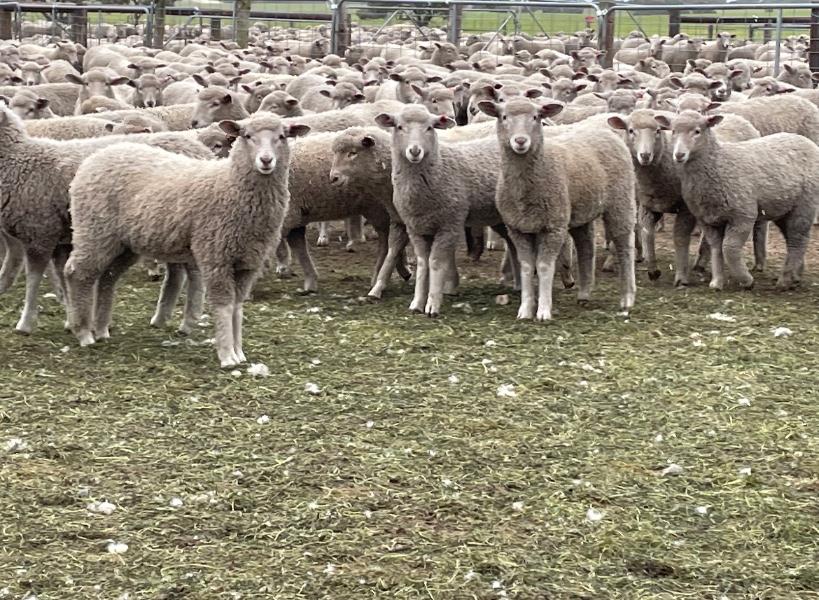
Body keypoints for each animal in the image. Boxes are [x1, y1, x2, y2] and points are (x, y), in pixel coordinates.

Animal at [0, 104, 215, 335]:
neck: (19, 160)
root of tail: (201, 150)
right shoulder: (58, 237)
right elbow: (61, 276)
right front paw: (71, 318)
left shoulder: (40, 231)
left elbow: (34, 279)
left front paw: (25, 323)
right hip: (167, 231)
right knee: (177, 273)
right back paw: (161, 317)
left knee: (190, 273)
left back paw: (184, 320)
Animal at [64, 114, 310, 367]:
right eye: (247, 136)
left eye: (282, 136)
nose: (266, 160)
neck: (229, 185)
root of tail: (97, 156)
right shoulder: (215, 256)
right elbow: (223, 305)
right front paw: (227, 355)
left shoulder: (248, 262)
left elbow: (237, 306)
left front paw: (239, 352)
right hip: (94, 230)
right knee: (77, 273)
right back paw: (83, 332)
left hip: (124, 243)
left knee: (107, 277)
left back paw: (101, 329)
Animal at [373, 105, 519, 316]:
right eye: (399, 126)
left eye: (429, 127)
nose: (415, 151)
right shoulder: (416, 228)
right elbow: (423, 263)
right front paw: (417, 302)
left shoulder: (449, 224)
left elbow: (435, 262)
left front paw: (432, 305)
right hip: (499, 218)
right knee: (514, 245)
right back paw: (520, 285)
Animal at [476, 97, 636, 320]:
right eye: (504, 117)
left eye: (536, 117)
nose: (520, 141)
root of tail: (607, 133)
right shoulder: (518, 228)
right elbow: (527, 267)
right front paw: (525, 309)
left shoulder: (554, 227)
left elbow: (544, 267)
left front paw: (543, 311)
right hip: (581, 211)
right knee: (586, 248)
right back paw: (584, 294)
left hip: (620, 201)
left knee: (625, 245)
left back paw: (627, 298)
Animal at [667, 109, 819, 290]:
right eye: (673, 131)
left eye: (697, 131)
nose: (679, 155)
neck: (718, 163)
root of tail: (806, 141)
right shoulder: (708, 219)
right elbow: (716, 247)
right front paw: (717, 282)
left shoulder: (743, 216)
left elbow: (729, 248)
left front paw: (747, 280)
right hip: (784, 208)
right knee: (794, 239)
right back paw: (796, 276)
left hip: (805, 204)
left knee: (798, 239)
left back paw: (785, 280)